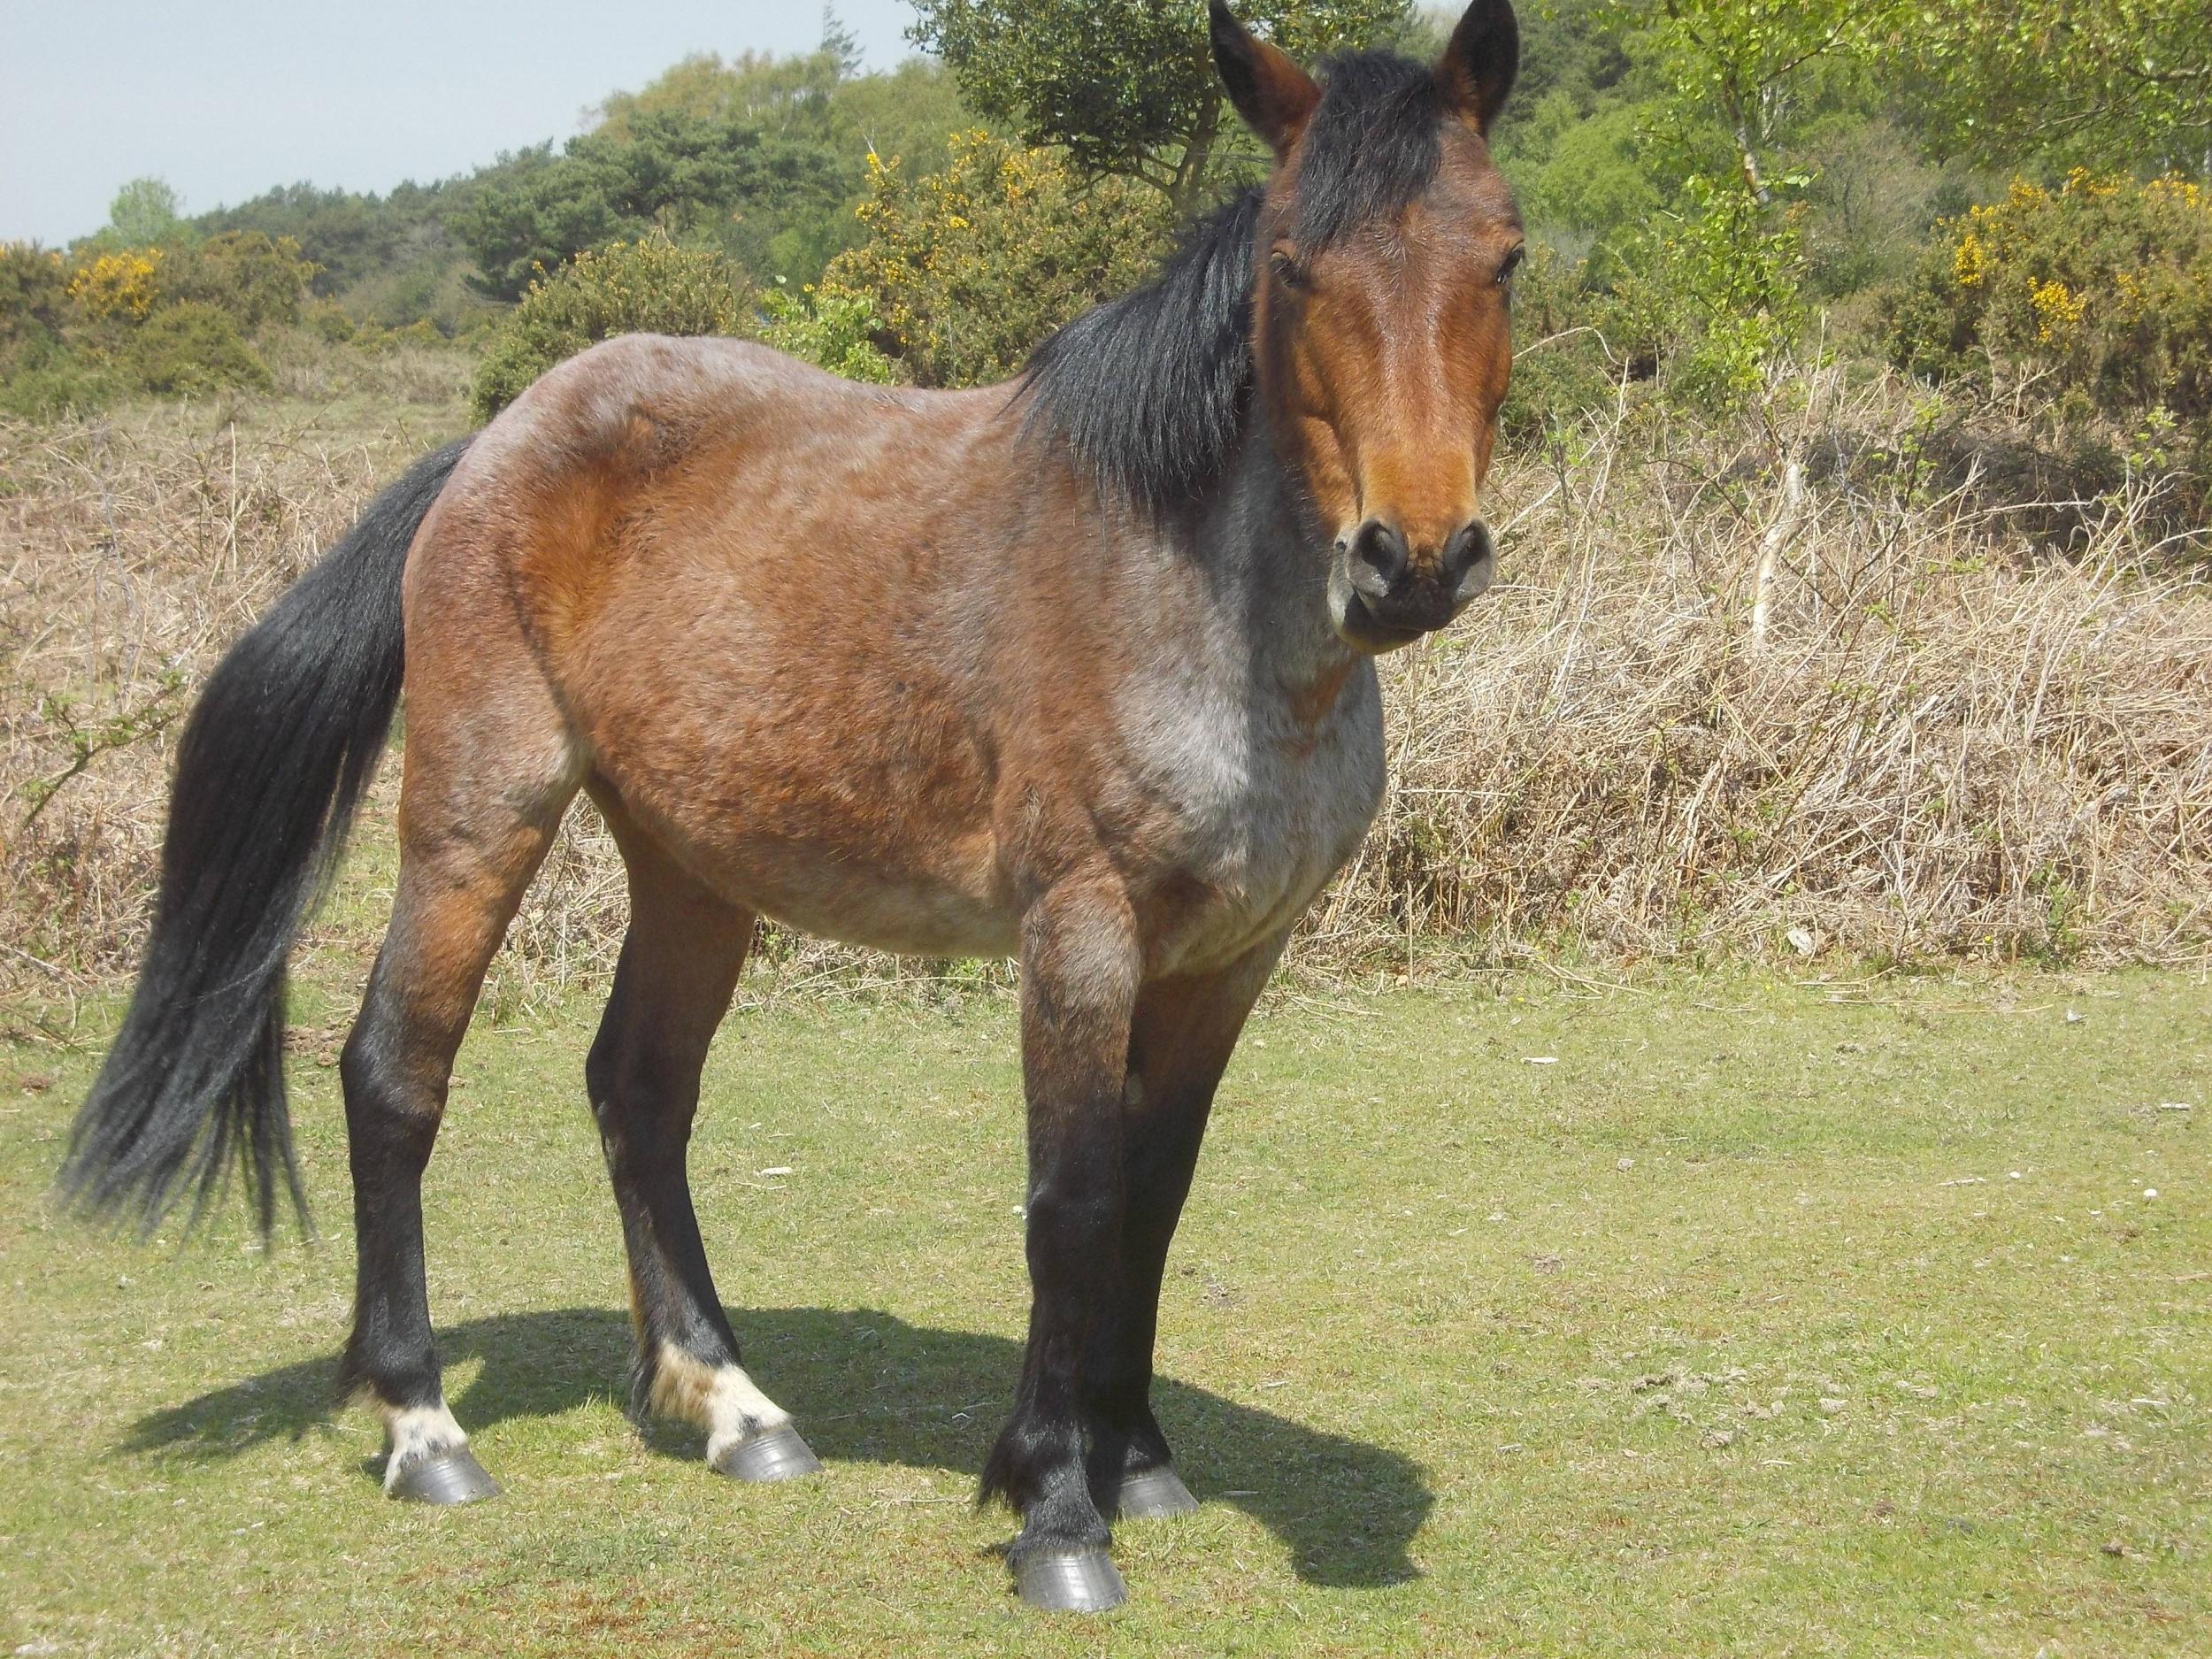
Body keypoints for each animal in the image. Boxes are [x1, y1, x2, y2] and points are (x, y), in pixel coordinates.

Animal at [65, 0, 1522, 1610]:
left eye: (1504, 253)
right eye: (1293, 267)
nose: (1414, 560)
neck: (1189, 593)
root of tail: (496, 442)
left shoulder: (1231, 960)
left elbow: (1155, 1192)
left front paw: (1134, 1459)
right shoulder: (1079, 934)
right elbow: (1070, 1201)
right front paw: (1055, 1507)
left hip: (692, 871)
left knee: (639, 1090)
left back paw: (733, 1404)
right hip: (479, 813)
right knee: (395, 1073)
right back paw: (423, 1425)